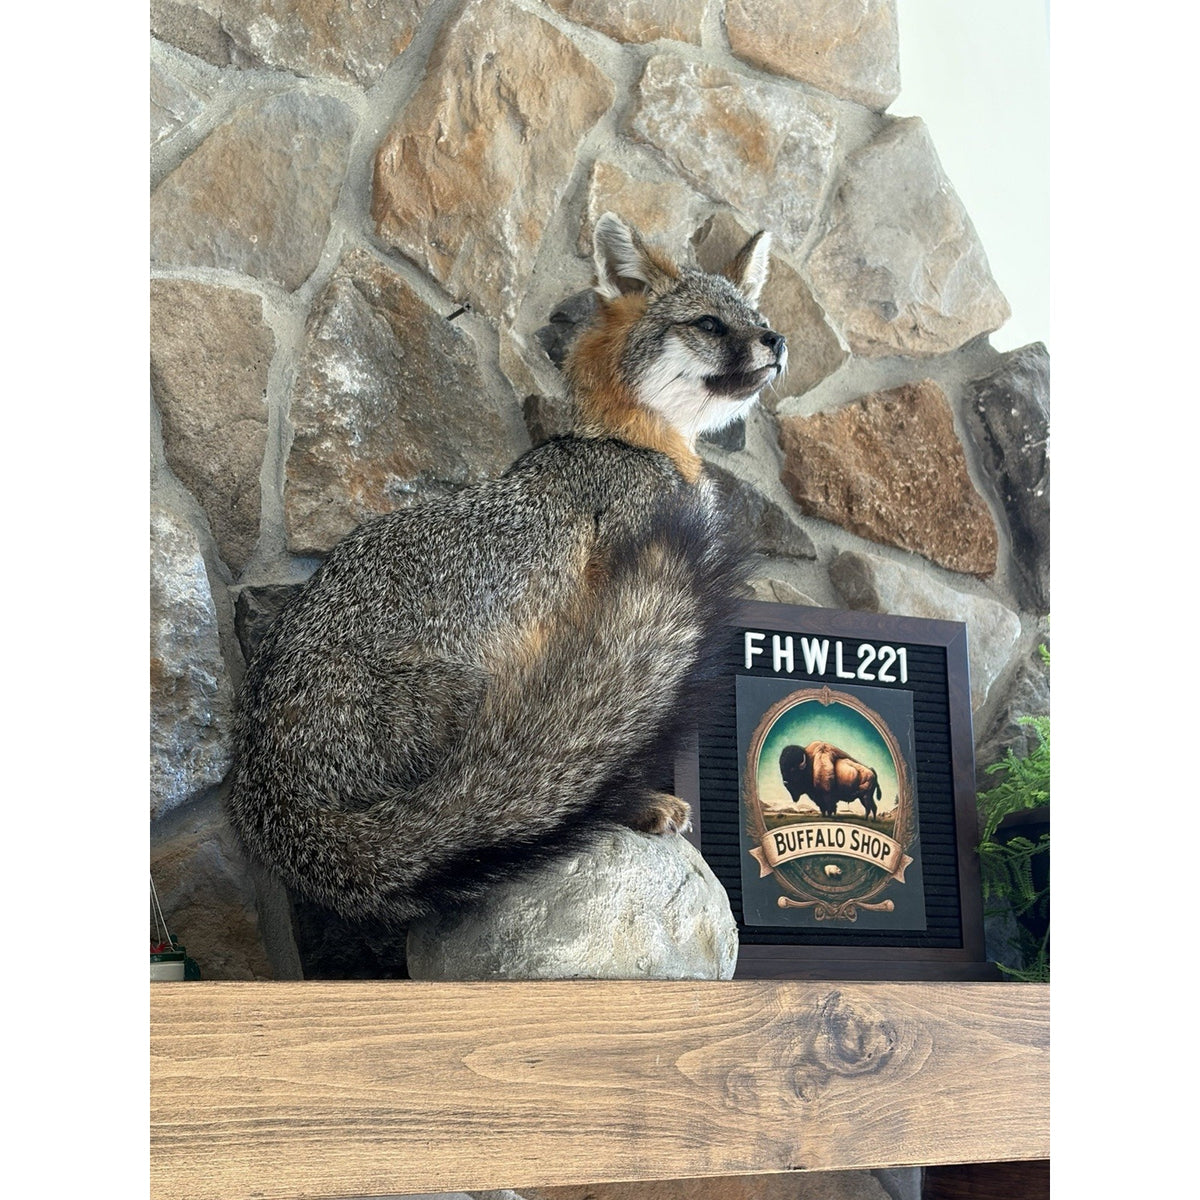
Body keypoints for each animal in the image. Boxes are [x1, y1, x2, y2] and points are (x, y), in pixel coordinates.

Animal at [227, 213, 787, 924]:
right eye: (711, 325)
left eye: (757, 318)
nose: (778, 339)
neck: (635, 442)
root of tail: (282, 813)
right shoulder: (626, 604)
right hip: (484, 693)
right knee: (537, 793)